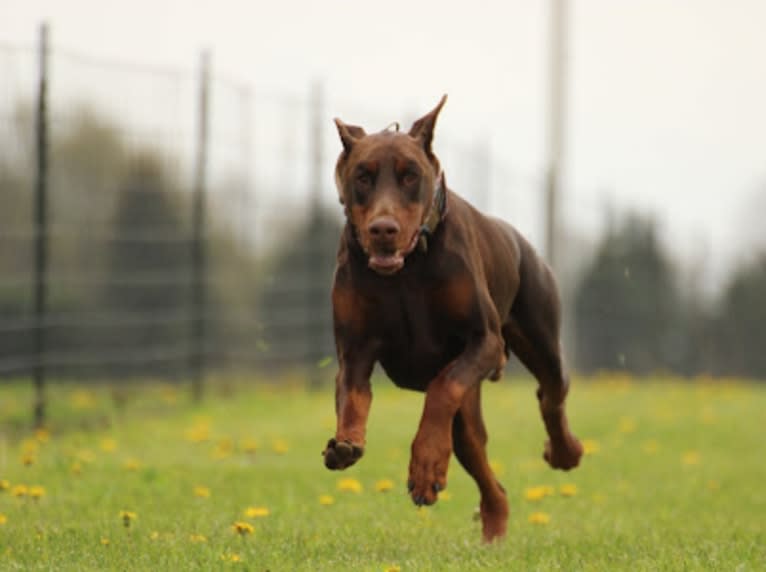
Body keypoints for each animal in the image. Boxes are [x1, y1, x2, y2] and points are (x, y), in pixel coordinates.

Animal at [322, 96, 584, 544]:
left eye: (410, 175)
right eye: (362, 176)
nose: (382, 229)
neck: (406, 271)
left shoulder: (484, 341)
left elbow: (442, 388)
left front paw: (426, 466)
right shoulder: (354, 351)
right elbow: (352, 395)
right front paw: (346, 443)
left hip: (539, 336)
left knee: (551, 392)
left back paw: (564, 451)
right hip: (470, 412)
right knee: (488, 475)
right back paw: (494, 531)